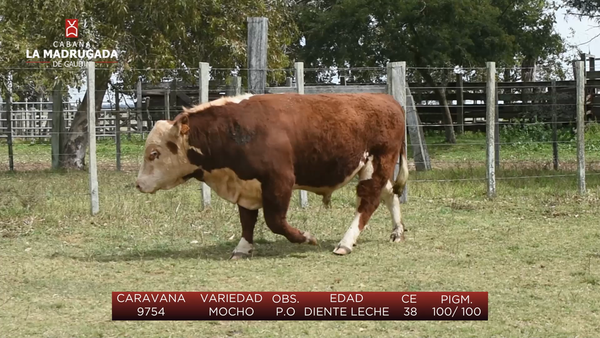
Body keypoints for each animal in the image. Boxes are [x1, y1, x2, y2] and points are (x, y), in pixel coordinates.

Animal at [135, 91, 408, 258]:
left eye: (154, 154)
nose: (138, 184)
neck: (235, 130)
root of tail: (387, 99)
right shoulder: (245, 184)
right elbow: (247, 220)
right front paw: (242, 247)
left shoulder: (280, 181)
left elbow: (275, 221)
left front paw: (305, 237)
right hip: (372, 168)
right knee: (389, 193)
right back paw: (397, 231)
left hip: (377, 162)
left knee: (368, 200)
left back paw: (345, 242)